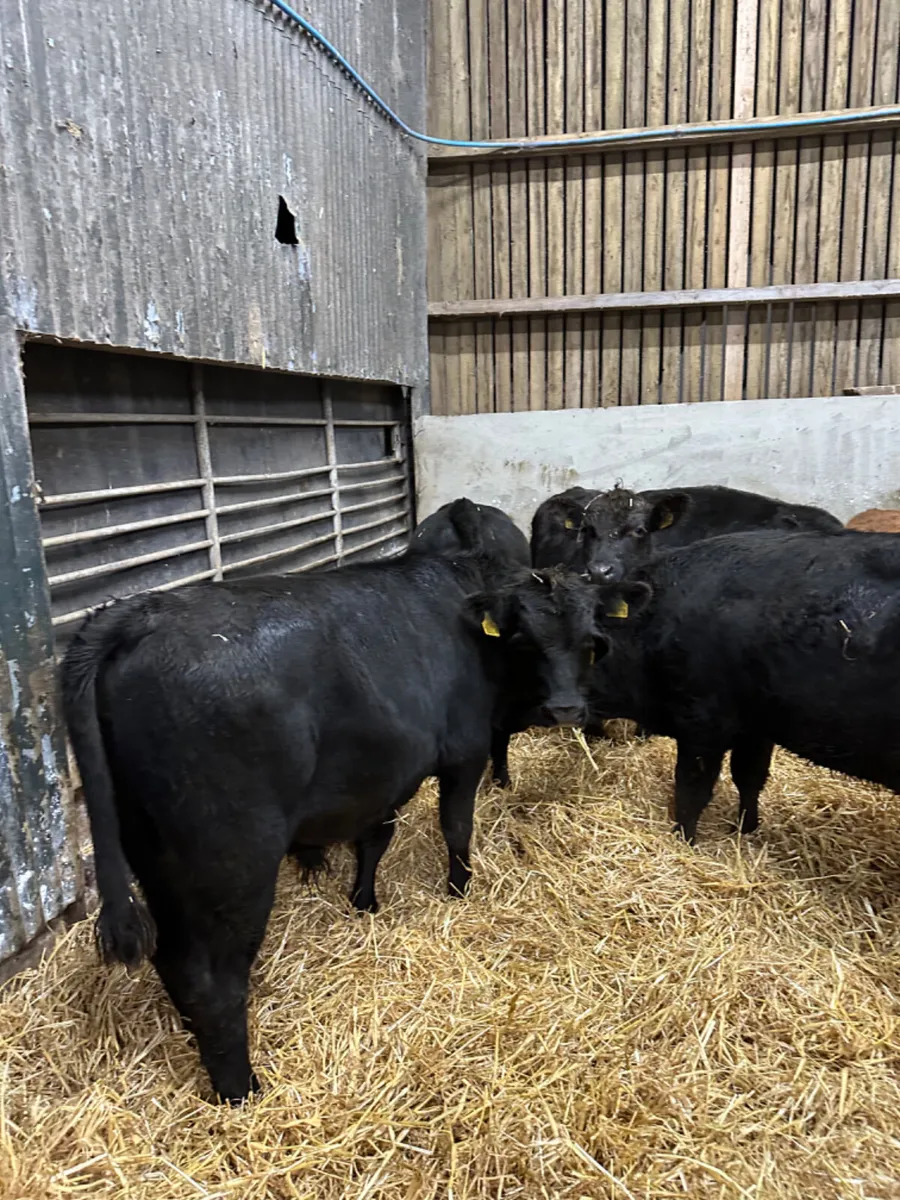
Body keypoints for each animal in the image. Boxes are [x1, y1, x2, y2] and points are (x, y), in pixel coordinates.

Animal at [63, 503, 602, 1102]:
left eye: (587, 640)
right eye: (526, 640)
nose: (567, 708)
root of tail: (138, 612)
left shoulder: (383, 771)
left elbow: (376, 836)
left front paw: (364, 902)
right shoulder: (465, 750)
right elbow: (456, 826)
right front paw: (460, 889)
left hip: (153, 853)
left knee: (171, 958)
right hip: (233, 860)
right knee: (211, 979)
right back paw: (240, 1088)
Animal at [586, 528, 900, 844]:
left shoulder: (703, 721)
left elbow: (692, 788)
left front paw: (683, 838)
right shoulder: (756, 725)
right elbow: (749, 776)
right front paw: (746, 830)